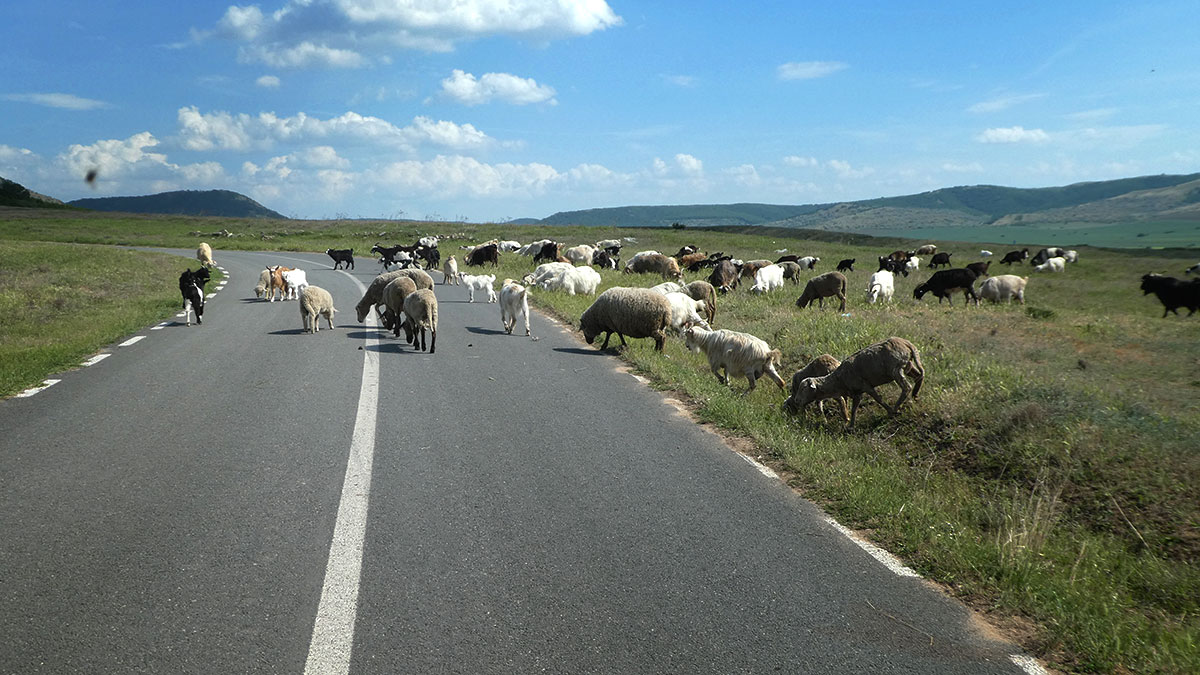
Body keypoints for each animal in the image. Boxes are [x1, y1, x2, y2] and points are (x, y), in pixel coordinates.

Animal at [787, 336, 926, 425]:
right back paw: (915, 395)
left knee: (906, 387)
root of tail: (907, 343)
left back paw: (897, 407)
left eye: (803, 388)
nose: (797, 400)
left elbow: (878, 399)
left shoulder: (865, 386)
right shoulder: (857, 393)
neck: (838, 380)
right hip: (908, 365)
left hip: (896, 369)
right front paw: (851, 425)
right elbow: (854, 408)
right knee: (919, 376)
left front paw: (890, 411)